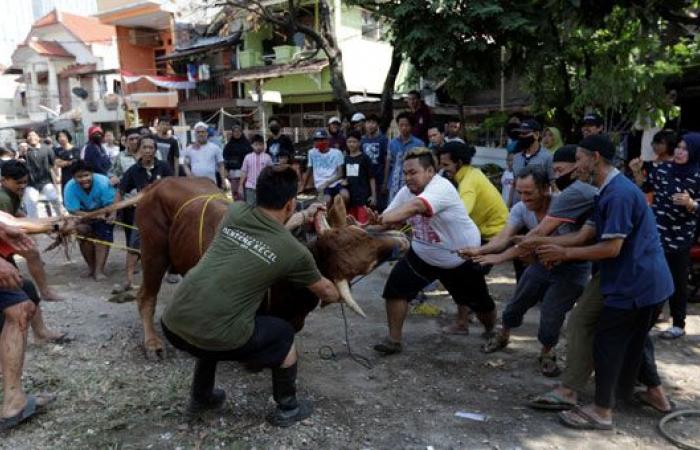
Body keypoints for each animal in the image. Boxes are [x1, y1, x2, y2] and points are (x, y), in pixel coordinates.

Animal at [115, 178, 408, 356]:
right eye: (368, 261)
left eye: (362, 234)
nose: (403, 239)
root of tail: (156, 184)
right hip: (152, 253)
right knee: (146, 296)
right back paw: (152, 343)